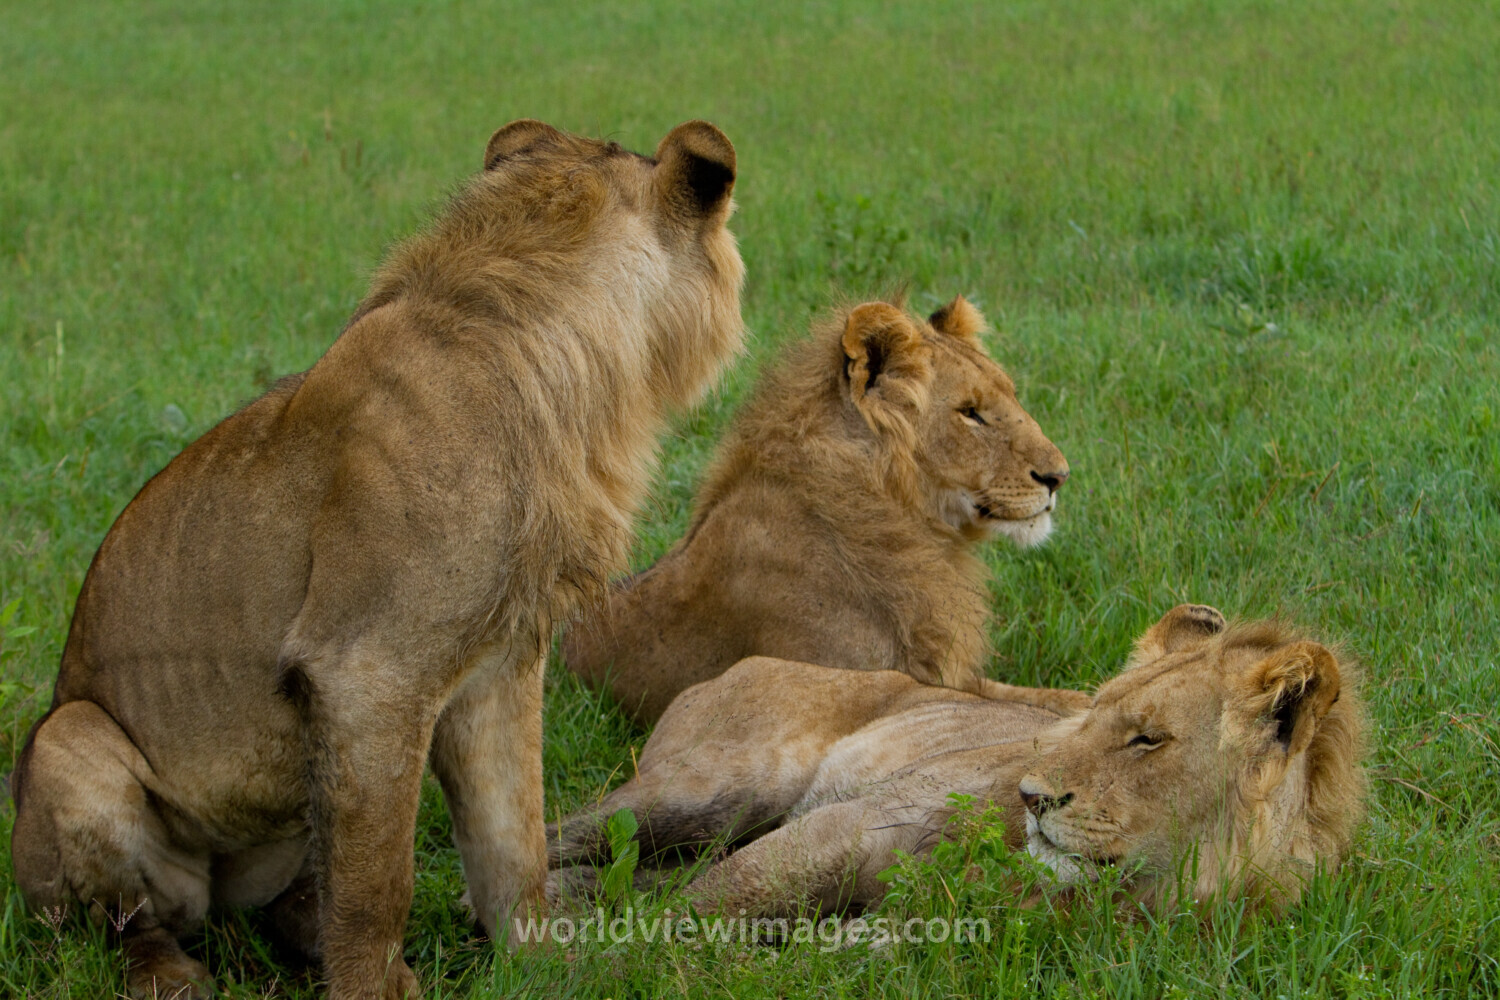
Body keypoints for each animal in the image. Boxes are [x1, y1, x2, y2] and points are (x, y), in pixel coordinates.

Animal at [8, 119, 745, 1000]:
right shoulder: (366, 673)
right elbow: (378, 879)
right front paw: (374, 986)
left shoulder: (503, 661)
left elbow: (512, 837)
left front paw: (543, 967)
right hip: (70, 741)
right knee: (126, 923)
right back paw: (171, 975)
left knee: (290, 898)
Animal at [549, 605, 1366, 919]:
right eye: (1091, 714)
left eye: (1148, 739)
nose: (1034, 797)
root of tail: (730, 666)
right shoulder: (864, 818)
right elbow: (700, 913)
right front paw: (585, 969)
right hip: (715, 789)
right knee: (556, 837)